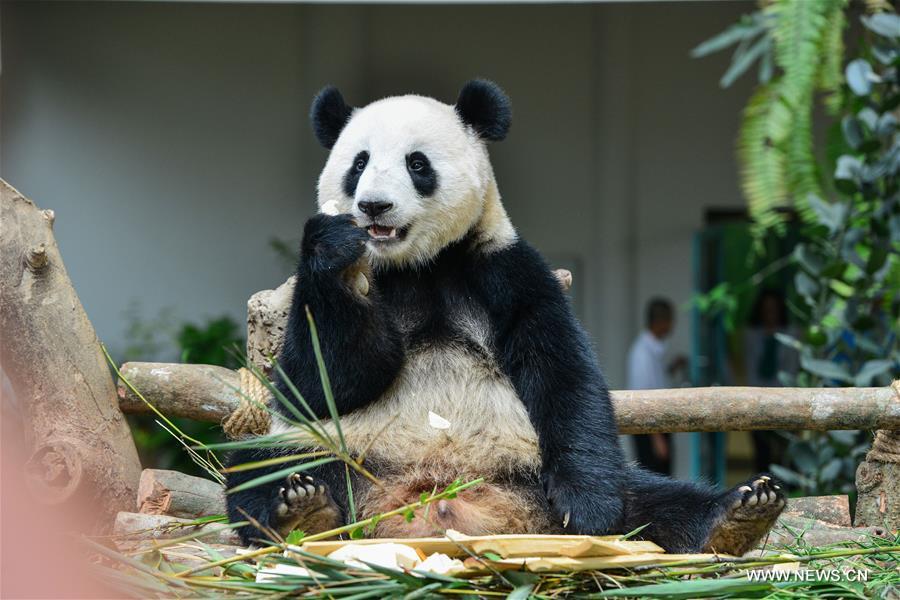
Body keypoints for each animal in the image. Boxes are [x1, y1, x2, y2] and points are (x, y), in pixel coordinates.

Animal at [227, 82, 788, 556]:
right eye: (359, 162)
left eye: (417, 164)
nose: (373, 207)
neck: (417, 265)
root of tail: (442, 500)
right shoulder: (330, 291)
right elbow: (321, 382)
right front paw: (338, 252)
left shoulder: (504, 269)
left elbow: (563, 374)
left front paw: (589, 509)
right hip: (353, 453)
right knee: (265, 471)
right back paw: (304, 511)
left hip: (535, 465)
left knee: (648, 497)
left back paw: (737, 515)